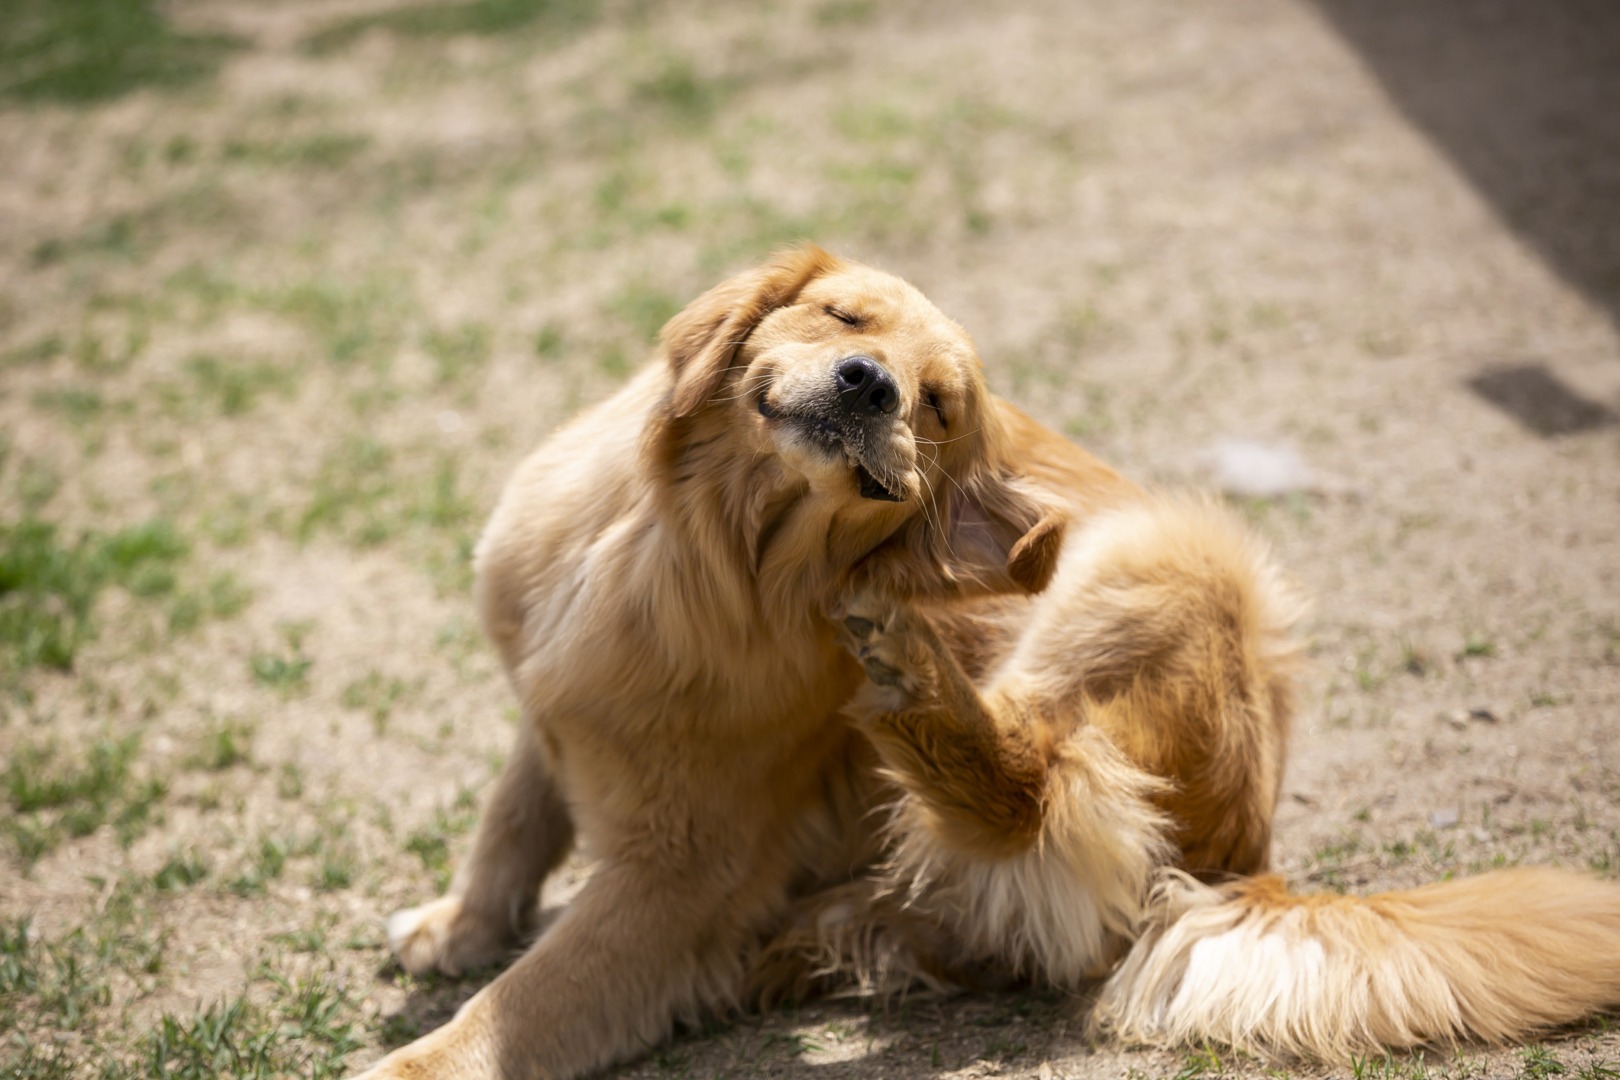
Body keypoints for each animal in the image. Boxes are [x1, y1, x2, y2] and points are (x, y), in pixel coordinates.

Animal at [361, 247, 1620, 1080]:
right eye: (843, 315)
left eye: (937, 402)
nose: (870, 384)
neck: (692, 547)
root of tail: (1247, 858)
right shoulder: (550, 700)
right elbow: (516, 812)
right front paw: (461, 922)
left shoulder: (680, 871)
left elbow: (523, 1003)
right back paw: (819, 930)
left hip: (1160, 554)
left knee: (1042, 792)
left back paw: (917, 693)